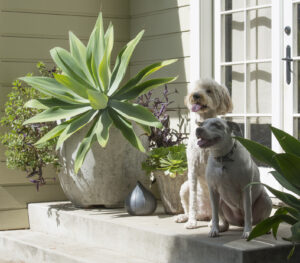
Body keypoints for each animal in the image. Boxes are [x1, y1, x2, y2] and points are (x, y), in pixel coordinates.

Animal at [175, 78, 233, 229]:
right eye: (195, 89)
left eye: (209, 90)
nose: (195, 95)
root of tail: (204, 214)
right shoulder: (193, 170)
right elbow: (193, 199)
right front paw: (191, 222)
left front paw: (215, 223)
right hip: (184, 187)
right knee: (188, 206)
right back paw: (185, 217)